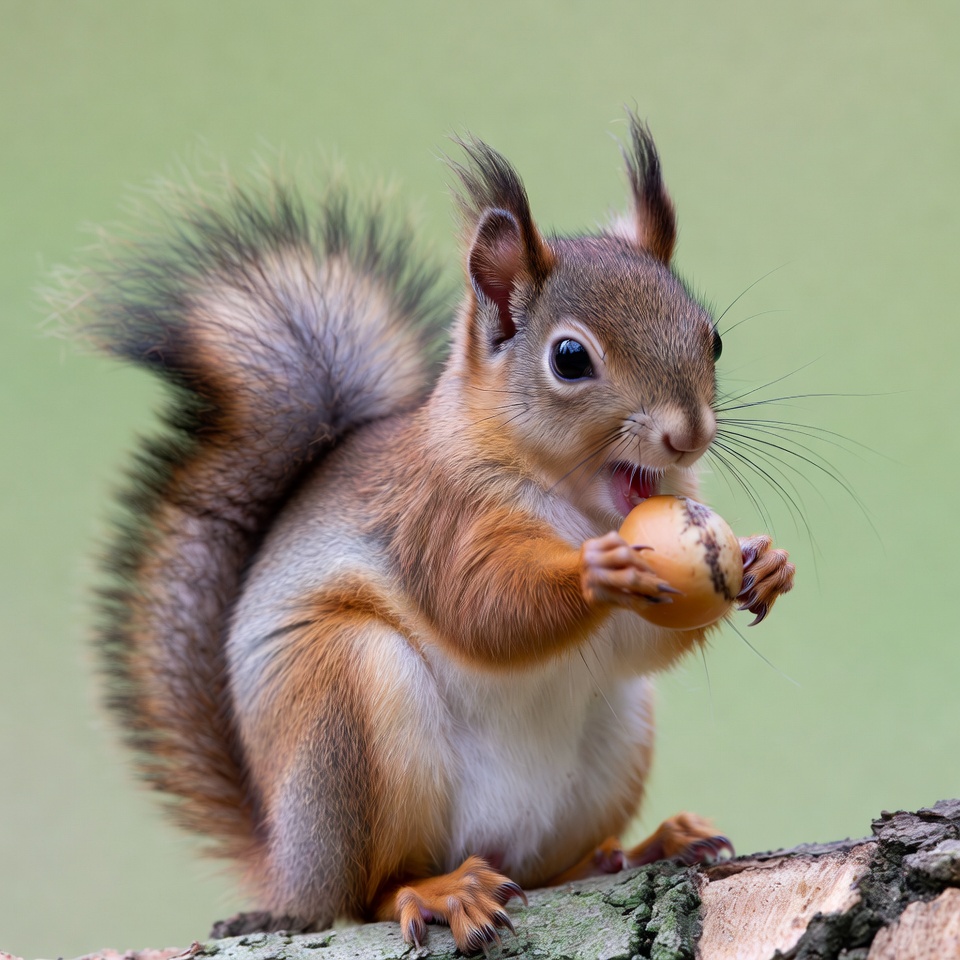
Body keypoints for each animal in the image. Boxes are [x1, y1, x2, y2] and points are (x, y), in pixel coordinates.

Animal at [75, 113, 795, 953]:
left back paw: (639, 847)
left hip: (615, 736)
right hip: (350, 710)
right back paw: (440, 890)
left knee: (549, 866)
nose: (689, 436)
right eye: (570, 358)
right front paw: (597, 571)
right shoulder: (438, 517)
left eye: (712, 339)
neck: (575, 501)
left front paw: (763, 563)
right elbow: (480, 606)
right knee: (369, 892)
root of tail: (288, 866)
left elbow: (642, 642)